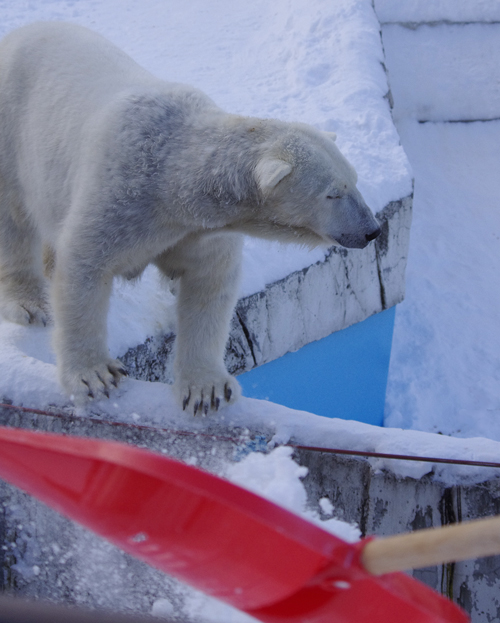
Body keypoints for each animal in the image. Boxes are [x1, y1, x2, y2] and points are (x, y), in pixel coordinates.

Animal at [0, 23, 378, 414]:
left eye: (354, 180)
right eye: (333, 193)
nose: (372, 230)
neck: (170, 176)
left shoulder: (198, 230)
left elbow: (209, 283)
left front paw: (206, 390)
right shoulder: (116, 196)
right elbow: (84, 268)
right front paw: (94, 376)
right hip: (12, 130)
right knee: (13, 219)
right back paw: (29, 302)